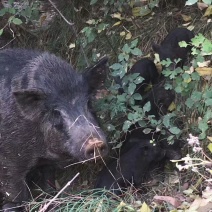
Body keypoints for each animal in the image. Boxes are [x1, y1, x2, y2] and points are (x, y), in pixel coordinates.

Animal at [0, 48, 108, 210]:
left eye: (88, 103)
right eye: (56, 112)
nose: (95, 143)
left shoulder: (47, 162)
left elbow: (48, 185)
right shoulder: (10, 163)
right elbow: (17, 196)